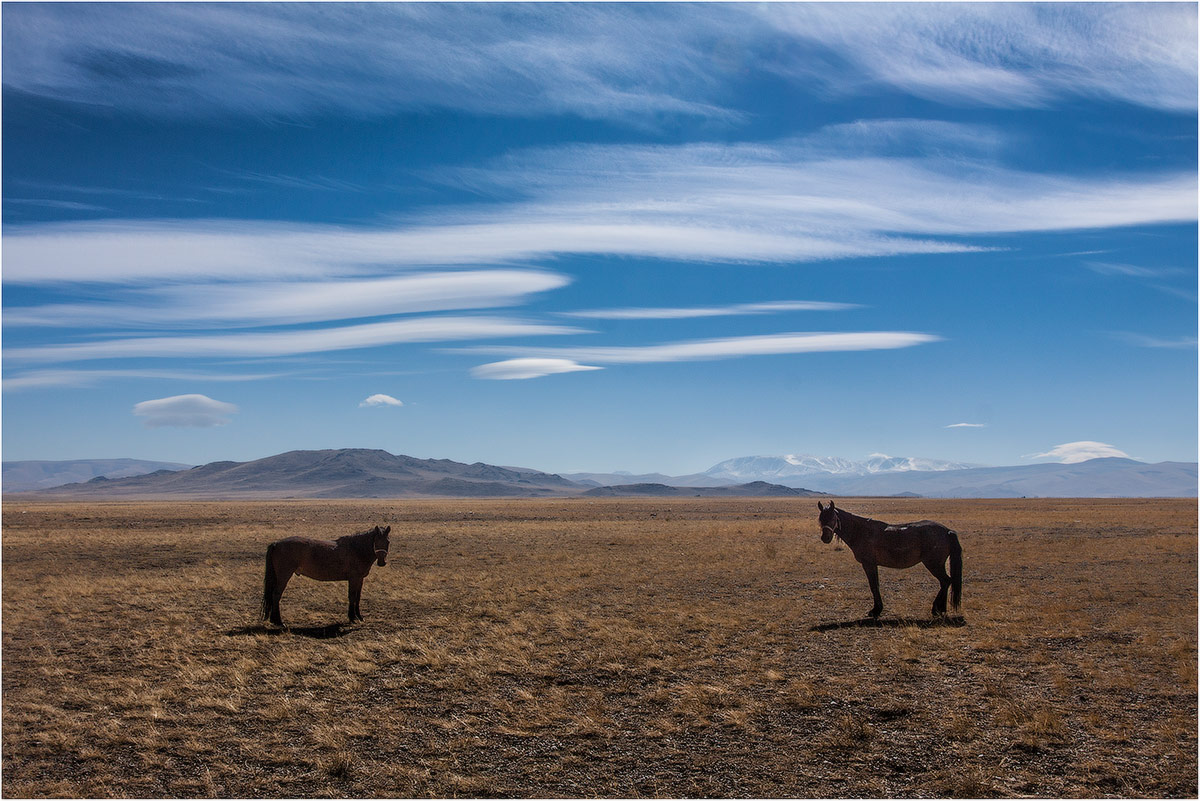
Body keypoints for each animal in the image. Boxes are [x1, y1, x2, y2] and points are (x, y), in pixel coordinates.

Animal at [811, 501, 960, 618]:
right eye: (821, 519)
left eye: (832, 518)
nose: (825, 538)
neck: (860, 531)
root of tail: (947, 531)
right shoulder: (873, 564)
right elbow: (875, 585)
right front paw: (877, 609)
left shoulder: (869, 564)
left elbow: (873, 585)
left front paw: (875, 611)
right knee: (945, 582)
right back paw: (941, 609)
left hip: (934, 564)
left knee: (946, 581)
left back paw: (936, 609)